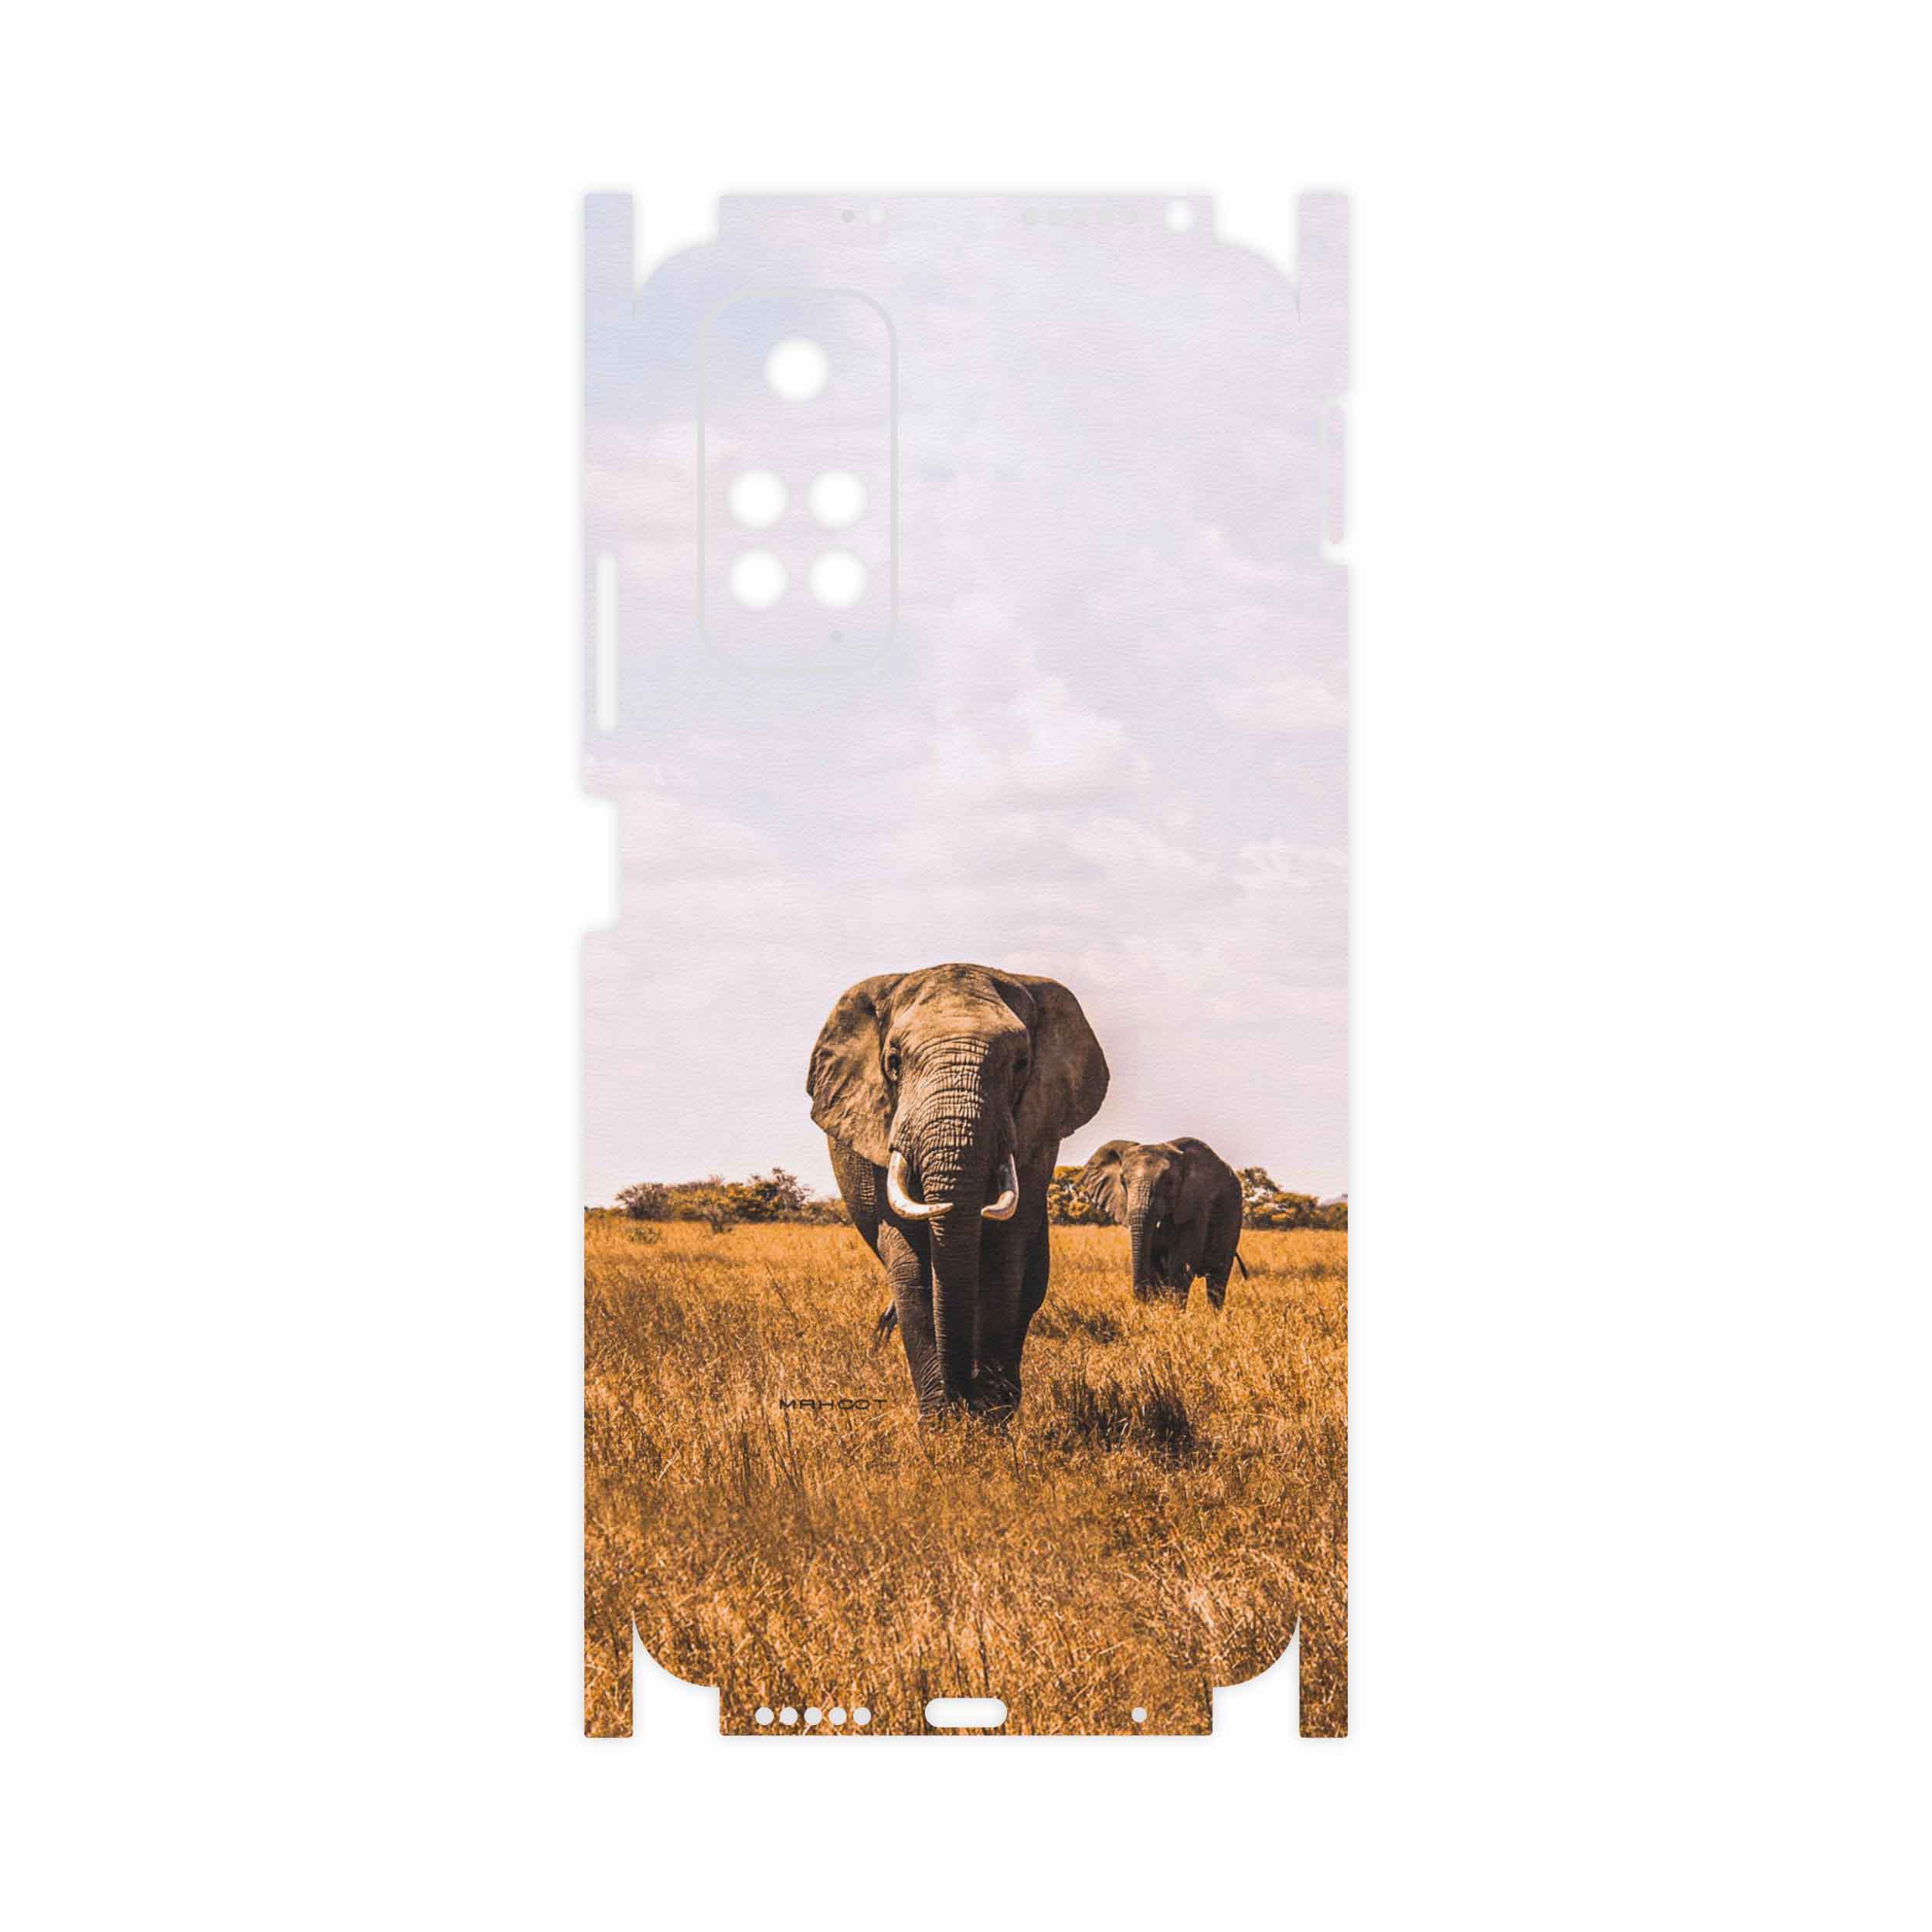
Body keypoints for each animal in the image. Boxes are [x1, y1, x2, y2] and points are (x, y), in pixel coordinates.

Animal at [808, 963, 1109, 1417]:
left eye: (1021, 1063)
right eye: (893, 1062)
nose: (963, 1397)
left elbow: (1005, 1256)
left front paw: (990, 1417)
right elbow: (911, 1264)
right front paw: (943, 1422)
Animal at [1076, 1137, 1247, 1309]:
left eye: (1168, 1182)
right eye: (1123, 1181)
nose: (1140, 1301)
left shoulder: (1197, 1203)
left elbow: (1182, 1266)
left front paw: (1173, 1312)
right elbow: (1155, 1264)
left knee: (1217, 1279)